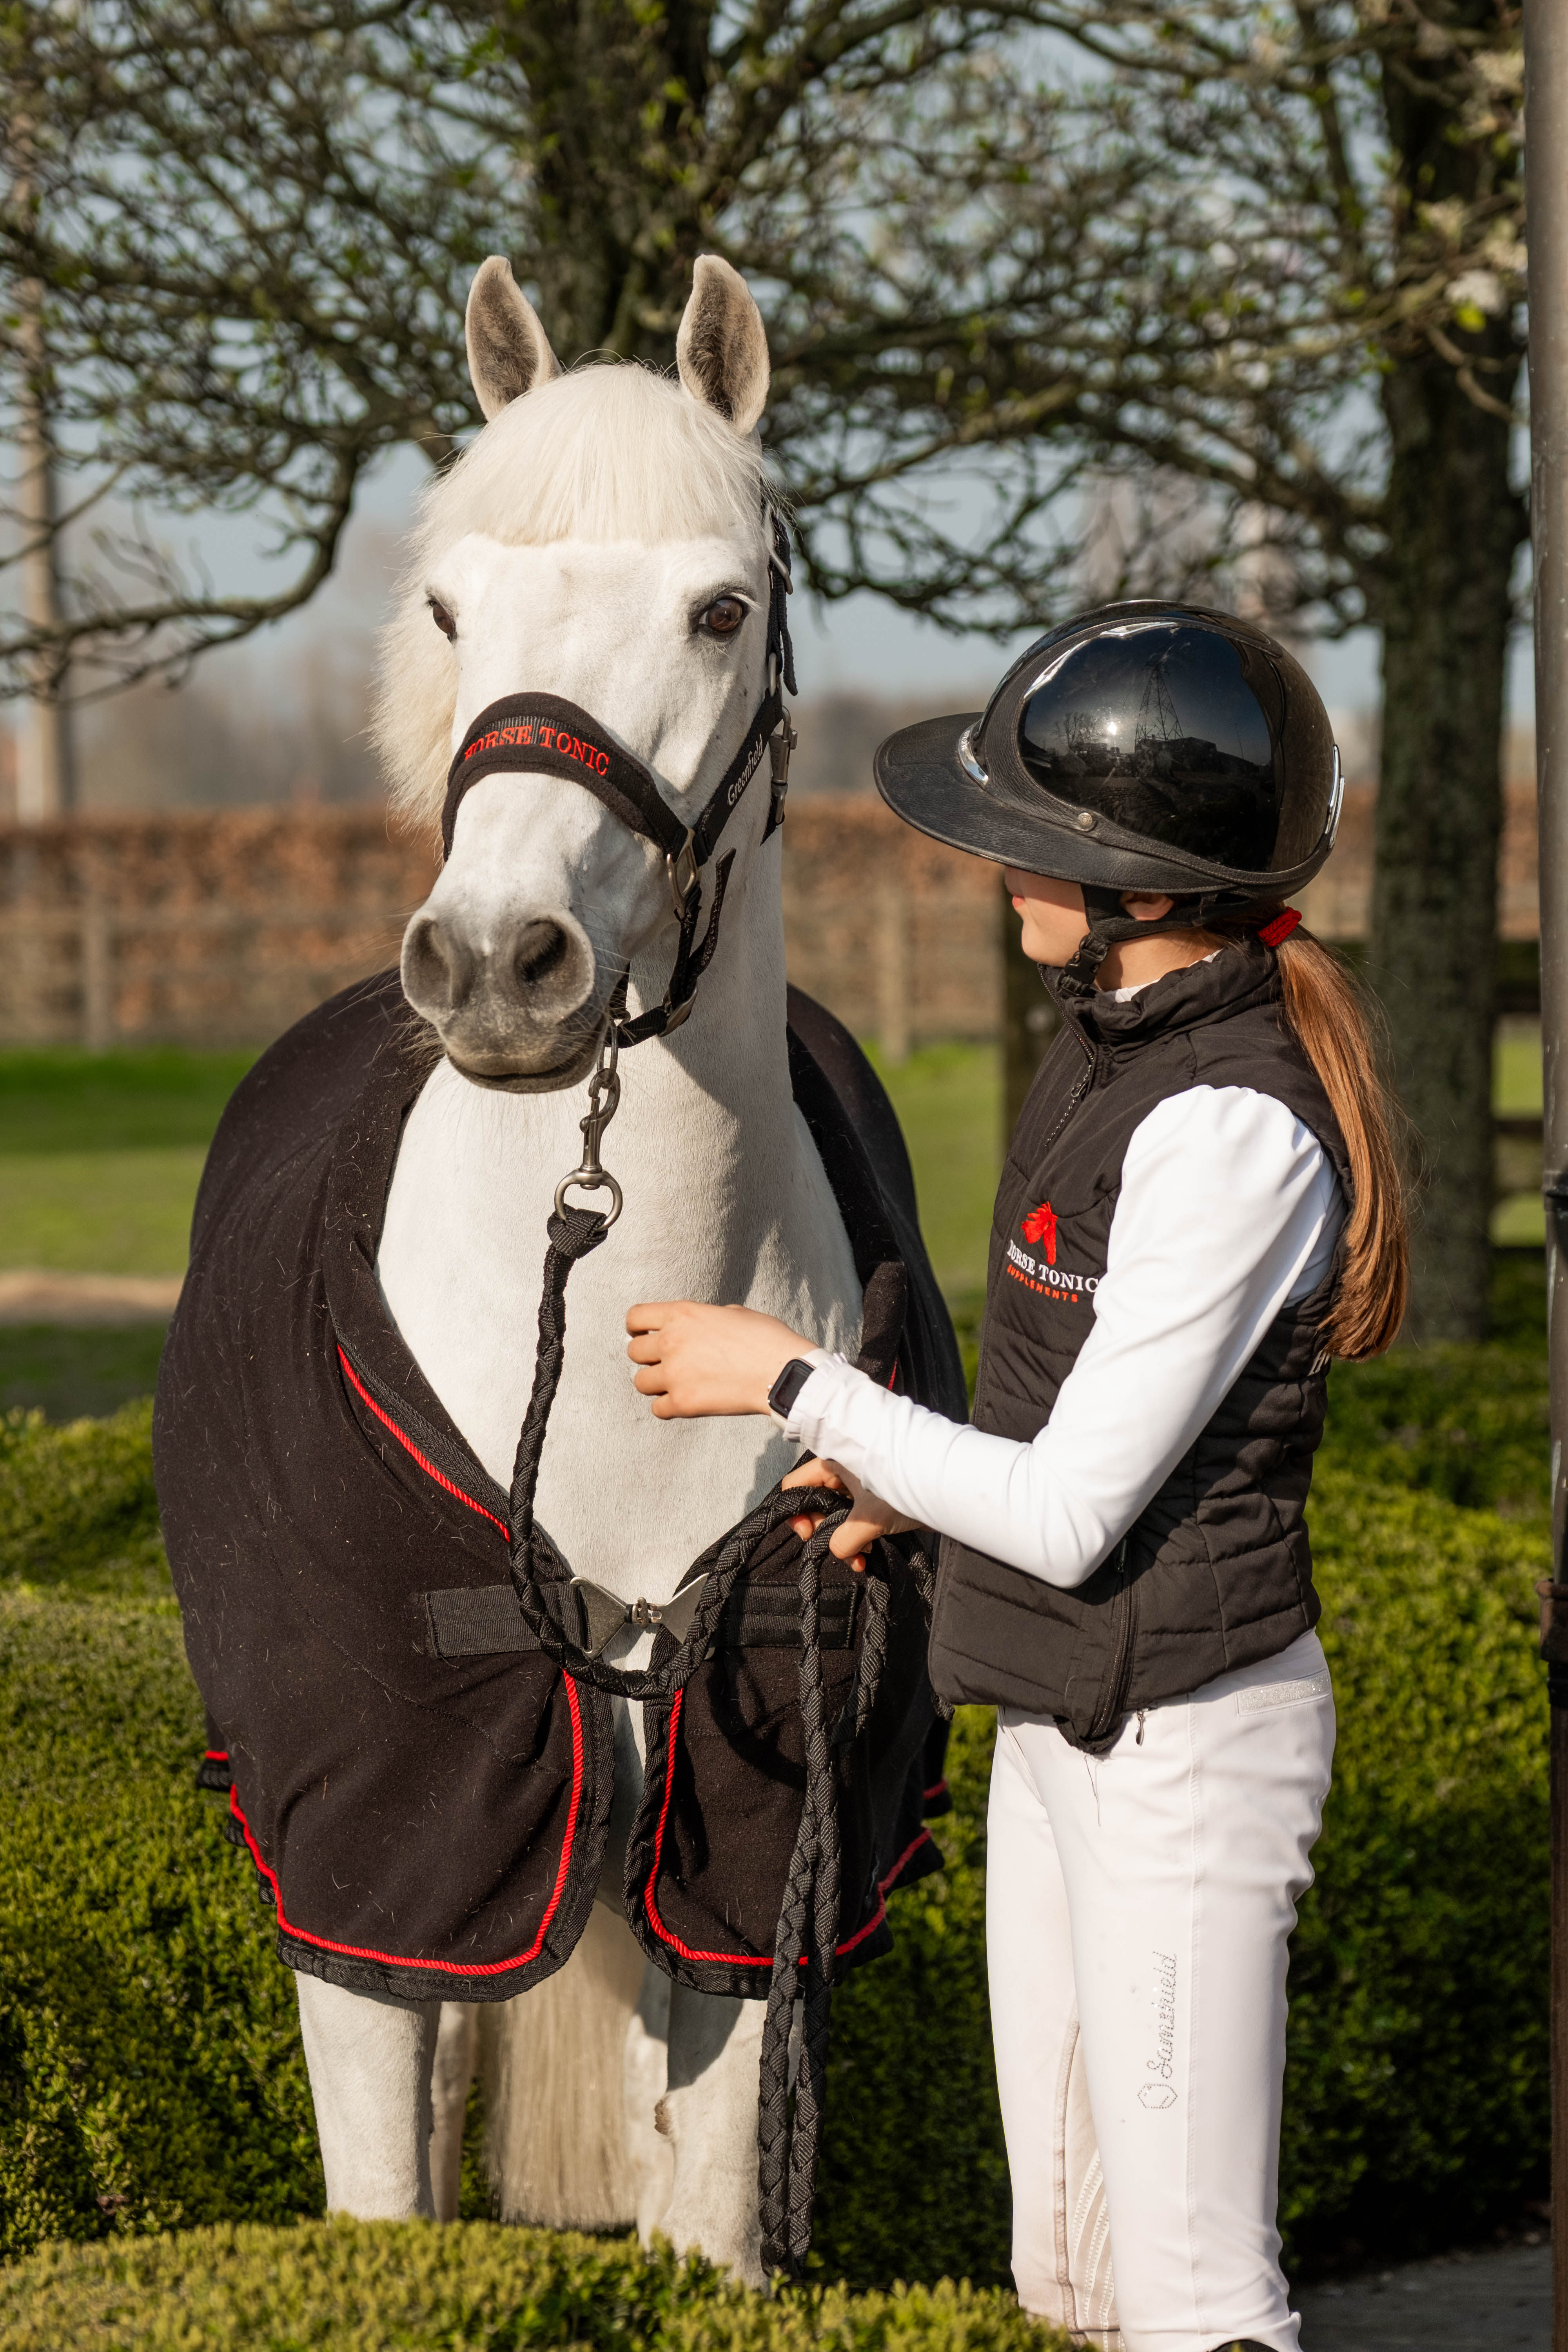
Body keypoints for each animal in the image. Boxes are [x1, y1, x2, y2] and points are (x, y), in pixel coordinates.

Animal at [154, 253, 961, 2284]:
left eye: (719, 606)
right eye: (452, 604)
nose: (497, 964)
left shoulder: (746, 1870)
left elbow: (713, 2228)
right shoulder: (385, 1872)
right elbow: (388, 2204)